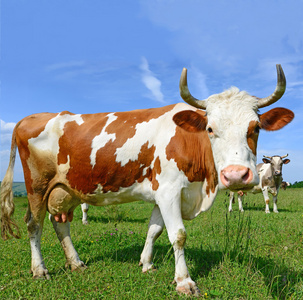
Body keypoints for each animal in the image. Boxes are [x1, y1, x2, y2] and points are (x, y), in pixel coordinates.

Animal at [0, 63, 294, 296]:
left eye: (256, 128)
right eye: (210, 129)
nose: (236, 175)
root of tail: (31, 117)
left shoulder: (161, 193)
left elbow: (154, 230)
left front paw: (147, 264)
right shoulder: (169, 190)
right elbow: (178, 235)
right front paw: (184, 281)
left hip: (67, 188)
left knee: (60, 223)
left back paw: (75, 263)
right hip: (37, 186)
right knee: (34, 224)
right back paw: (40, 270)